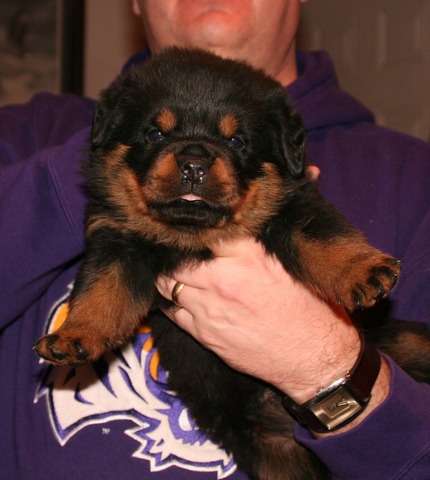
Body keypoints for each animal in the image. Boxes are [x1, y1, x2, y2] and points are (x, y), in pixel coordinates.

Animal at [34, 48, 430, 480]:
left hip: (390, 339)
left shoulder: (294, 205)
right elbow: (101, 290)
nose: (194, 162)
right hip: (274, 454)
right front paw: (74, 336)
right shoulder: (115, 238)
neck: (192, 233)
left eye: (237, 140)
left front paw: (362, 270)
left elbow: (324, 237)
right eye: (156, 134)